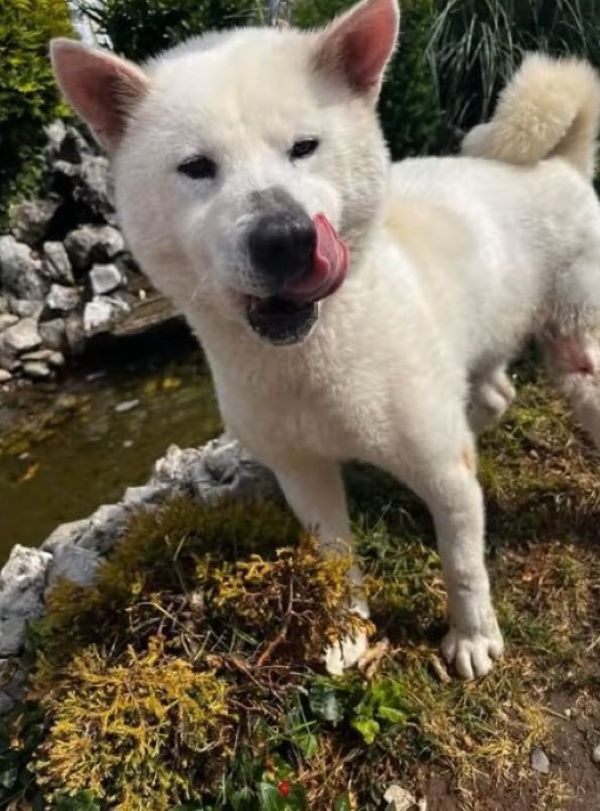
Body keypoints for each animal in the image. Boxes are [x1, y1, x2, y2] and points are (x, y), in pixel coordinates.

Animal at [50, 0, 600, 680]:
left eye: (304, 148)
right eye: (197, 167)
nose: (283, 238)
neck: (307, 363)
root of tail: (560, 162)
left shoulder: (442, 472)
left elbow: (463, 563)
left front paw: (472, 637)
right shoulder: (300, 471)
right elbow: (335, 560)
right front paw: (347, 634)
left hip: (578, 353)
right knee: (495, 395)